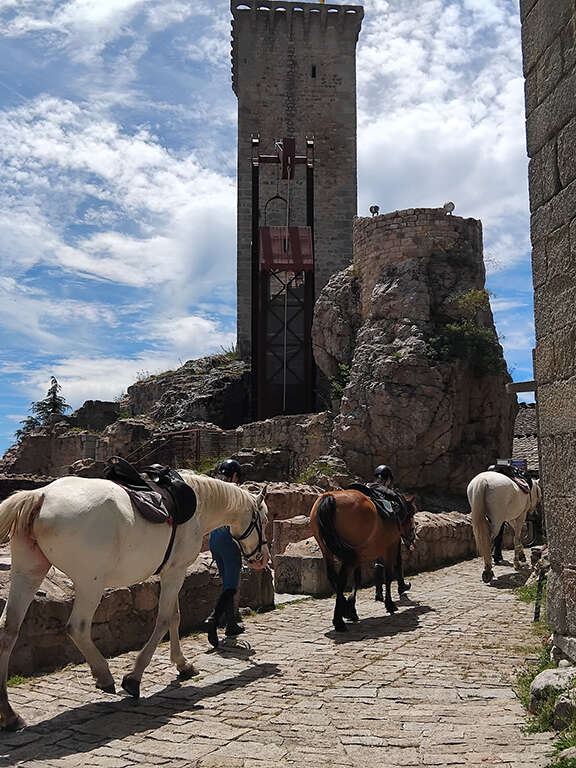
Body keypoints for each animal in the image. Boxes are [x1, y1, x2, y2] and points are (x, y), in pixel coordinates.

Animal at [0, 472, 268, 728]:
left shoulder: (172, 572)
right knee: (77, 627)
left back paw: (10, 714)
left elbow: (175, 616)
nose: (263, 559)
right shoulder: (175, 572)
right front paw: (134, 677)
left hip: (28, 573)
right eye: (264, 522)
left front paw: (182, 664)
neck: (198, 504)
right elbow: (163, 620)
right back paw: (104, 675)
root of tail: (41, 495)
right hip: (90, 582)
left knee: (8, 630)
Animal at [312, 492, 416, 632]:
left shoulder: (360, 556)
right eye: (411, 514)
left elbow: (358, 579)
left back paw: (344, 612)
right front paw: (390, 604)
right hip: (349, 554)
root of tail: (330, 497)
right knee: (342, 579)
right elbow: (389, 575)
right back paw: (339, 621)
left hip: (327, 550)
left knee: (333, 577)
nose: (412, 535)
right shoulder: (390, 547)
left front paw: (351, 608)